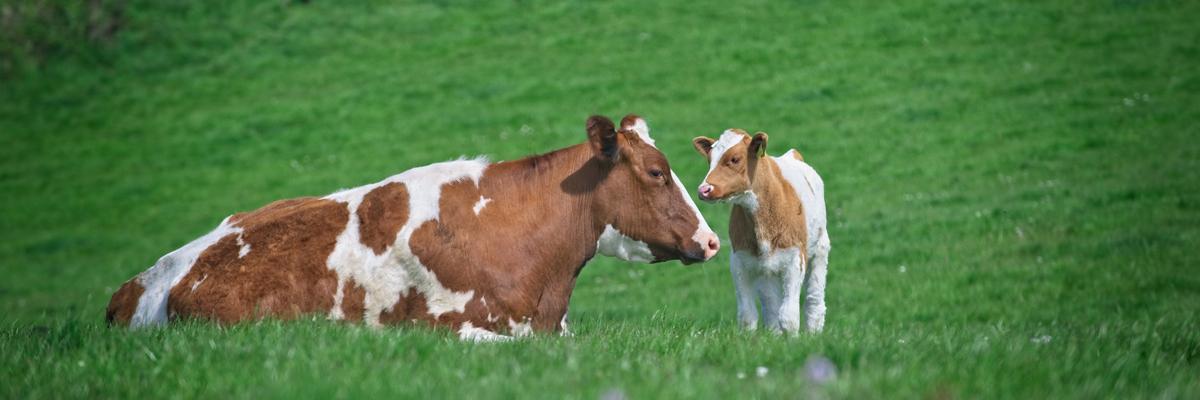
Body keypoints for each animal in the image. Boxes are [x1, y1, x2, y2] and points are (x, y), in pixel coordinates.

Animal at [691, 129, 830, 334]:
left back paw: (814, 333)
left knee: (814, 301)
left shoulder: (795, 258)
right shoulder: (739, 260)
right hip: (766, 269)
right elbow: (747, 316)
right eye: (710, 159)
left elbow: (789, 317)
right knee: (770, 305)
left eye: (735, 159)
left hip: (820, 248)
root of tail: (792, 155)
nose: (704, 190)